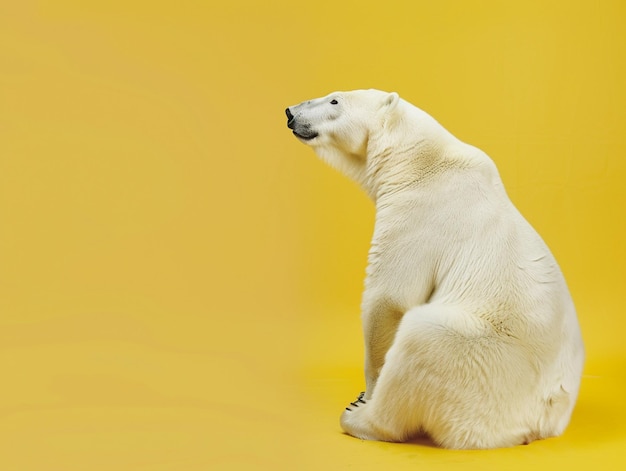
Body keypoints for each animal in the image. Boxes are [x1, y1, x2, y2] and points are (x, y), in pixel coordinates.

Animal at [286, 89, 584, 450]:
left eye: (334, 101)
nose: (290, 112)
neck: (419, 160)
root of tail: (543, 421)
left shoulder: (419, 213)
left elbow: (388, 298)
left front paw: (365, 394)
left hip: (486, 363)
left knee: (421, 336)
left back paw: (360, 419)